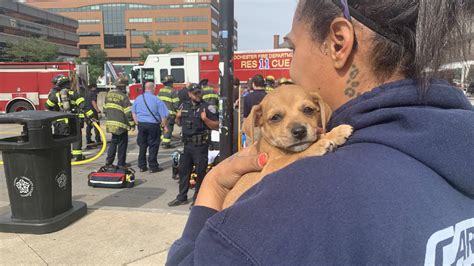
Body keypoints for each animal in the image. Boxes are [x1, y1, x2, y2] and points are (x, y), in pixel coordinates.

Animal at [222, 84, 352, 208]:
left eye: (308, 110)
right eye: (275, 117)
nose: (299, 131)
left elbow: (319, 135)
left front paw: (336, 132)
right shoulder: (270, 166)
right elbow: (294, 156)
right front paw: (318, 146)